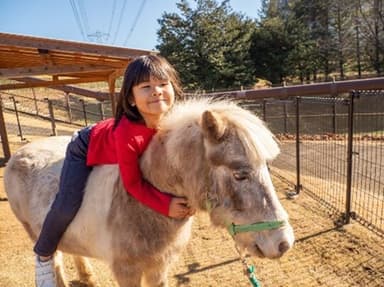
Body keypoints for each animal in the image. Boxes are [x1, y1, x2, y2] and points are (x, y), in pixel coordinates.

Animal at [3, 98, 294, 286]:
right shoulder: (126, 271)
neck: (144, 206)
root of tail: (17, 156)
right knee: (53, 258)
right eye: (240, 174)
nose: (284, 243)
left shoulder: (159, 266)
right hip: (36, 232)